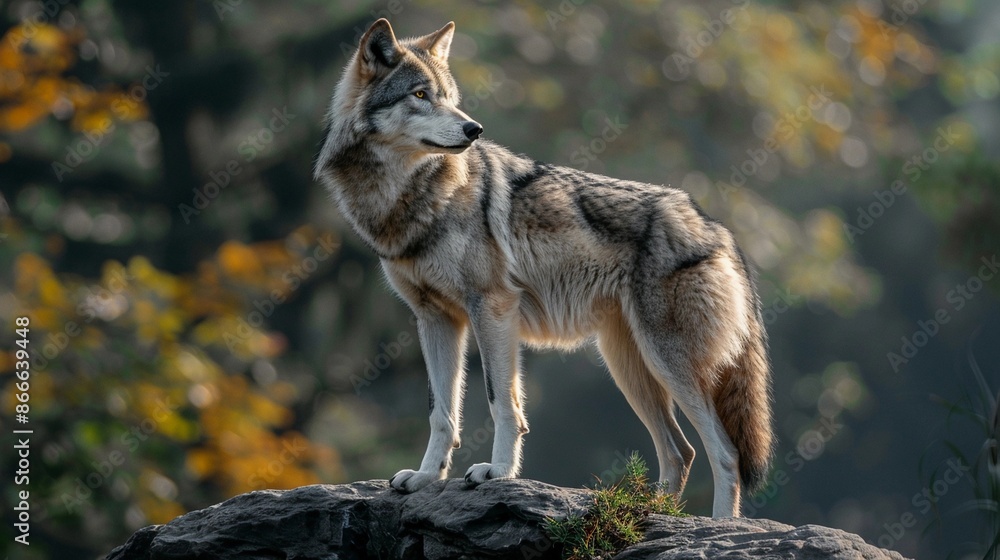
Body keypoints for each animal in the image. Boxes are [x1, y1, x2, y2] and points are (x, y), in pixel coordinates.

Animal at [314, 18, 774, 517]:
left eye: (450, 96)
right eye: (420, 95)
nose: (474, 129)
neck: (407, 197)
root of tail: (718, 228)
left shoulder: (492, 309)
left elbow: (501, 403)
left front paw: (497, 473)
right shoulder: (435, 319)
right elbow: (442, 413)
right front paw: (425, 478)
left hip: (668, 363)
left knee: (724, 452)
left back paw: (720, 524)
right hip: (630, 368)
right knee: (680, 451)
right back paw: (651, 513)